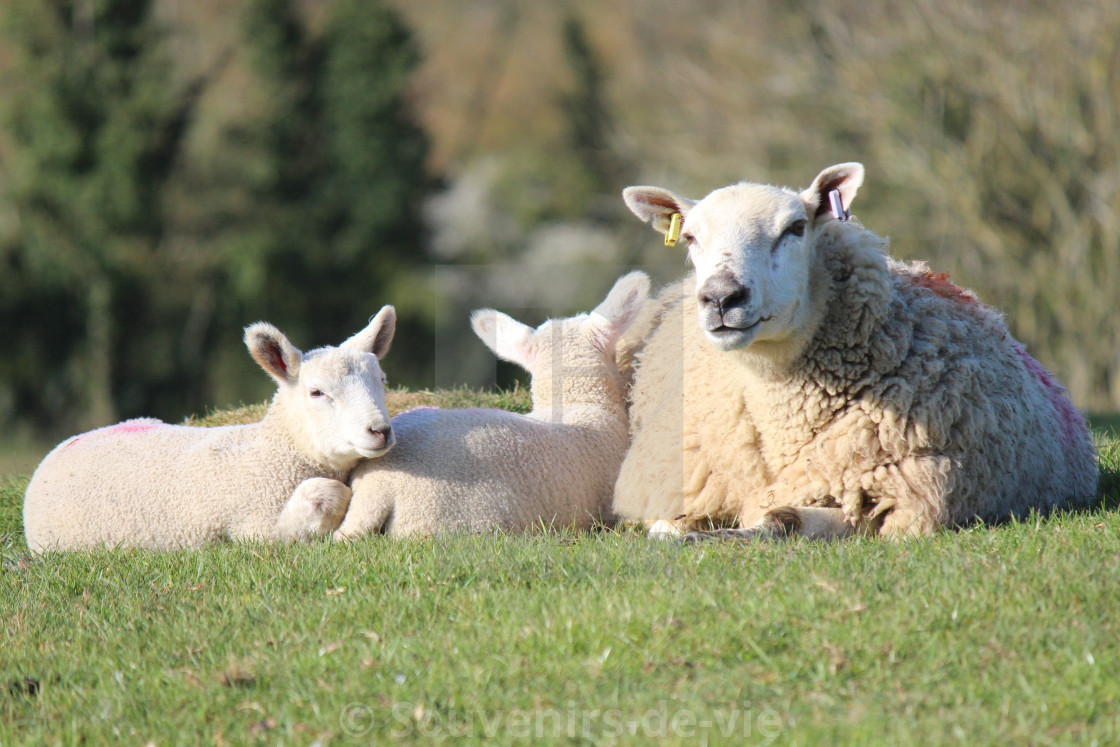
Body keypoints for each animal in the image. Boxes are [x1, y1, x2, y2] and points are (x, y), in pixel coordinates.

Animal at [21, 306, 400, 553]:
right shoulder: (257, 529)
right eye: (317, 392)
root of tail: (57, 451)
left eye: (382, 380)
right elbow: (327, 497)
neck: (273, 452)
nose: (380, 430)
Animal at [613, 163, 1093, 539]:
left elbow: (781, 518)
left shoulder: (894, 496)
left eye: (795, 228)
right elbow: (665, 525)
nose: (720, 297)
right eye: (690, 237)